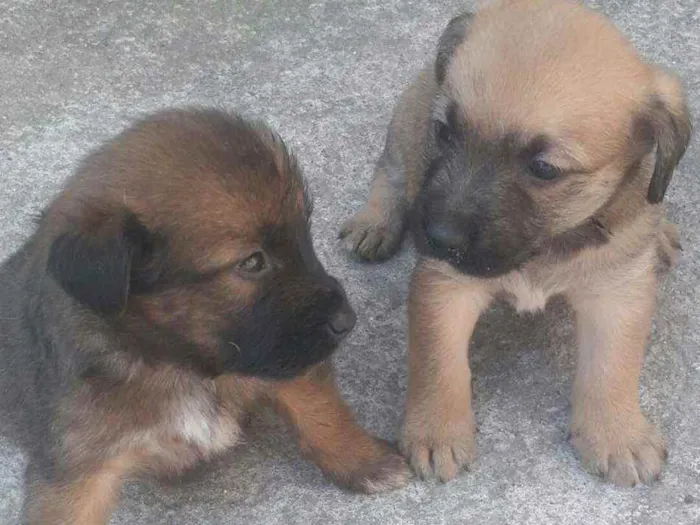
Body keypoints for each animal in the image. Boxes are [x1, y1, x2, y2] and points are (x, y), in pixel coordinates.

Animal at [0, 107, 410, 524]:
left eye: (303, 238)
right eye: (252, 262)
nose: (347, 320)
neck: (184, 366)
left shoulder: (280, 355)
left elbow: (319, 410)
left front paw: (366, 461)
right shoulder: (77, 468)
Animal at [342, 0, 692, 488]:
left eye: (543, 169)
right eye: (445, 132)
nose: (436, 237)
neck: (542, 249)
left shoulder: (617, 292)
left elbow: (611, 366)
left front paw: (616, 434)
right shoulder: (446, 284)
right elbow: (438, 362)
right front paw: (436, 431)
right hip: (407, 123)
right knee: (391, 171)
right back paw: (374, 222)